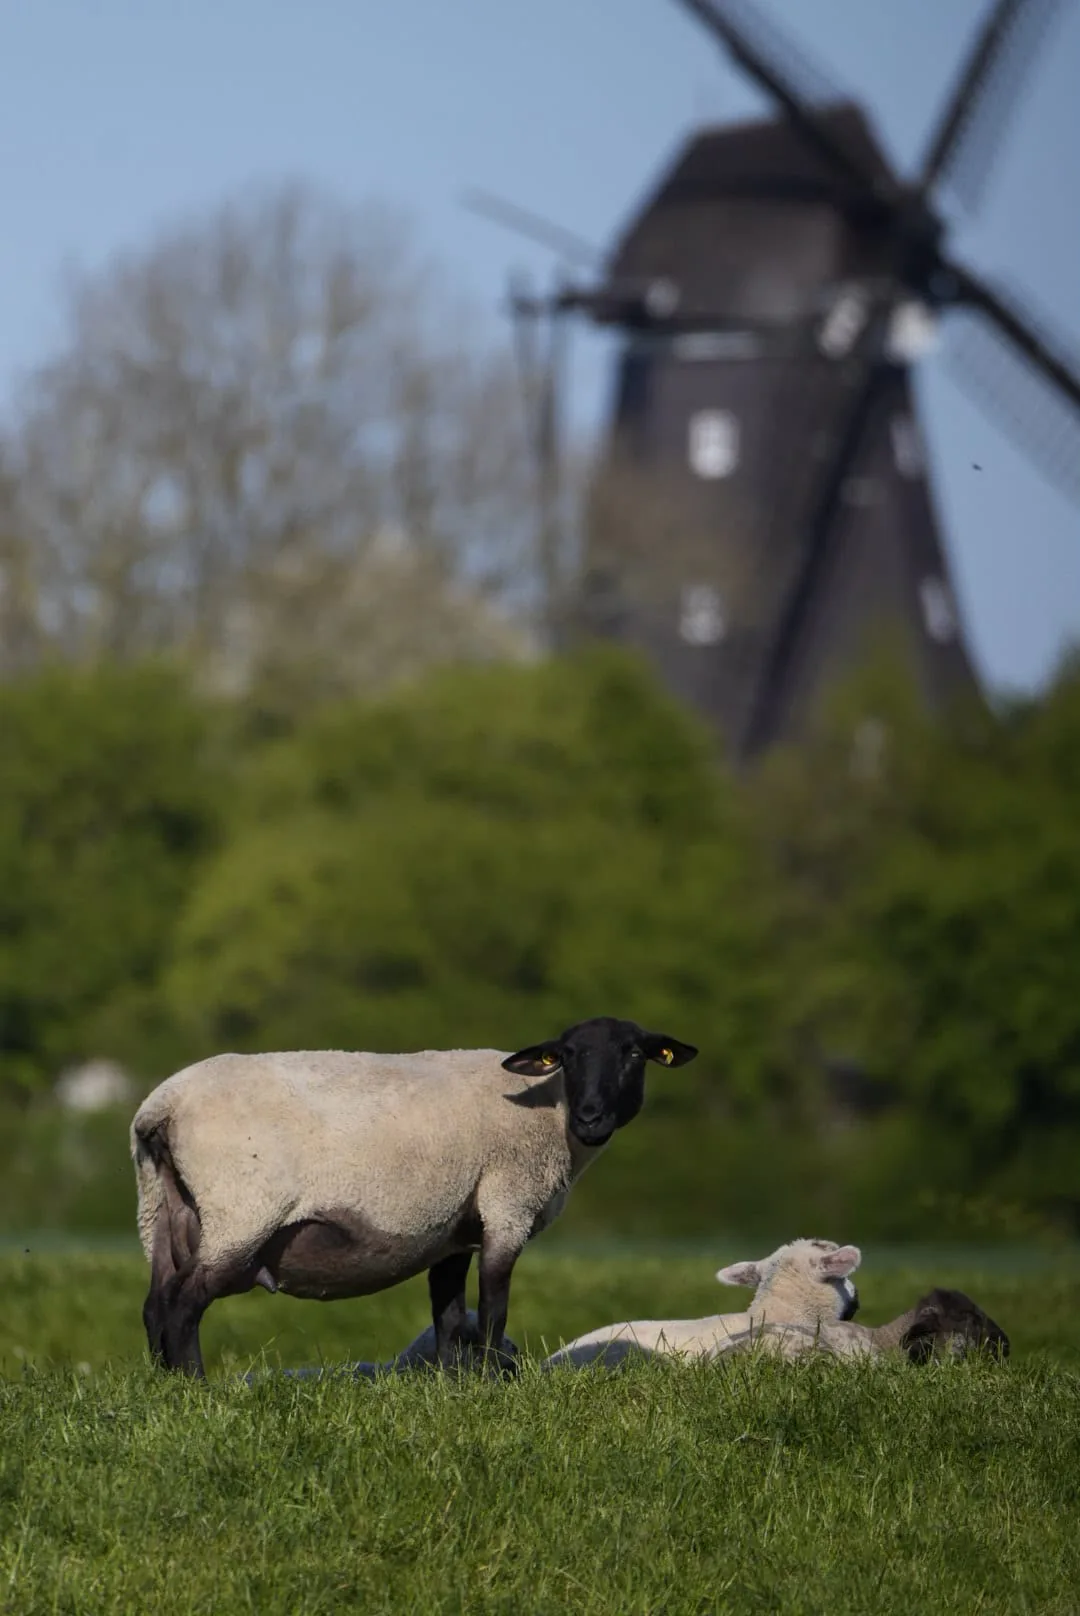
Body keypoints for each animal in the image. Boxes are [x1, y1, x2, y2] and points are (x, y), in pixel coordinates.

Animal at [130, 1015, 698, 1379]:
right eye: (570, 1056)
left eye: (632, 1053)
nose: (591, 1117)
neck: (550, 1110)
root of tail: (162, 1106)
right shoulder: (507, 1204)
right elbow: (493, 1308)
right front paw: (489, 1386)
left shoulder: (453, 1230)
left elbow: (448, 1317)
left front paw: (451, 1388)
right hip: (240, 1211)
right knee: (183, 1303)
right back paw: (196, 1390)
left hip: (160, 1208)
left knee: (156, 1303)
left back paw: (166, 1392)